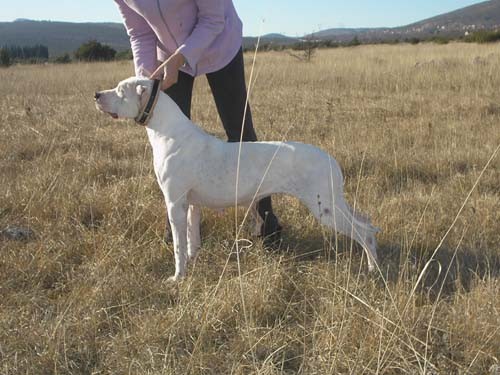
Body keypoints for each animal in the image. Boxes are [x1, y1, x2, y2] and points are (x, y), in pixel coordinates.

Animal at [94, 77, 378, 282]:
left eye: (120, 90)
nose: (96, 95)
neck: (168, 132)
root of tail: (331, 159)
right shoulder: (191, 205)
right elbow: (191, 240)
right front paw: (192, 262)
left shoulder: (174, 204)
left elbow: (177, 246)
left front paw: (177, 277)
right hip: (334, 204)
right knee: (367, 225)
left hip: (325, 209)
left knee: (363, 233)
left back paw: (373, 269)